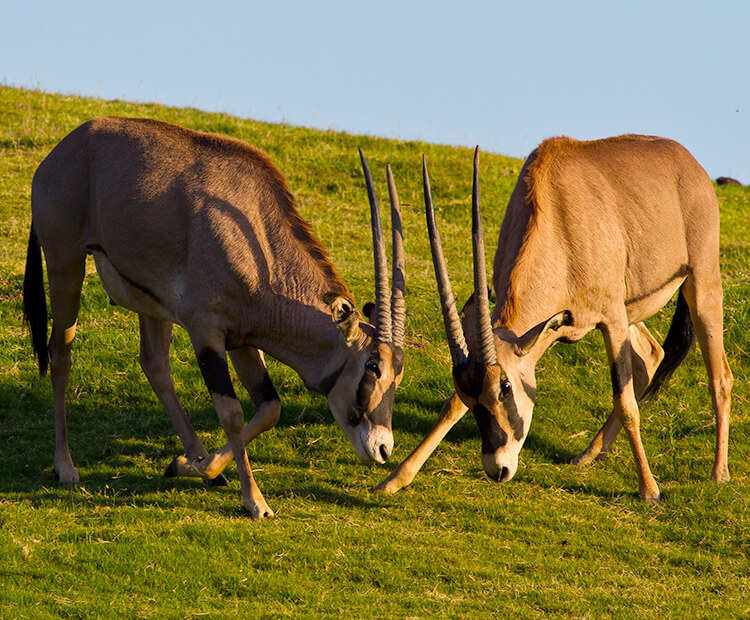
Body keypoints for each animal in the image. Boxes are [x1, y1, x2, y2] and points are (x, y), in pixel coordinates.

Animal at [25, 116, 406, 520]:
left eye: (397, 374)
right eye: (371, 367)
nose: (383, 448)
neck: (261, 244)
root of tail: (67, 146)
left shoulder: (242, 338)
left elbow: (270, 408)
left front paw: (190, 466)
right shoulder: (206, 331)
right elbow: (232, 413)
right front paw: (256, 501)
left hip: (149, 301)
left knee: (154, 364)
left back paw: (197, 458)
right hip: (65, 265)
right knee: (60, 354)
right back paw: (65, 466)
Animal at [376, 142, 736, 504]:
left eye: (505, 388)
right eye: (470, 394)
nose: (497, 469)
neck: (558, 219)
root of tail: (687, 161)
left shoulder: (611, 319)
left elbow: (625, 404)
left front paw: (649, 490)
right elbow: (450, 407)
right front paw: (394, 479)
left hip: (700, 285)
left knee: (719, 377)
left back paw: (719, 473)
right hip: (632, 310)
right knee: (650, 356)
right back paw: (590, 454)